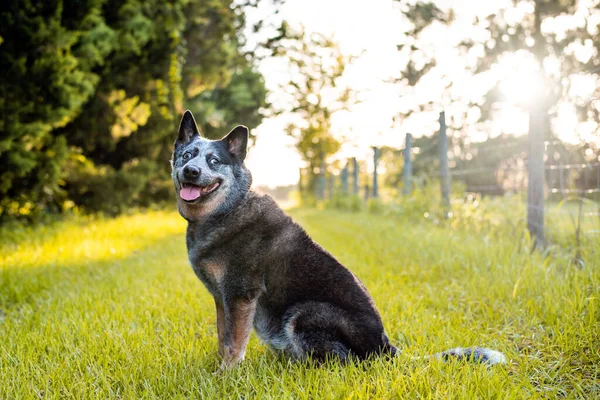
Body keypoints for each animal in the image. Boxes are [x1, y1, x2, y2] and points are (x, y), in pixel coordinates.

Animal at [171, 110, 504, 372]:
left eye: (214, 160)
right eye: (187, 155)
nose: (191, 171)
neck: (227, 210)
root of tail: (386, 350)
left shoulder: (240, 295)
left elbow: (233, 344)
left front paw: (225, 376)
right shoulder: (222, 299)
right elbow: (222, 337)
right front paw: (218, 367)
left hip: (304, 314)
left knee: (342, 362)